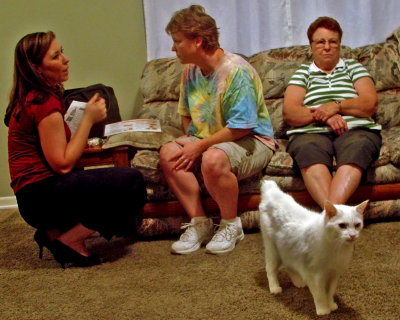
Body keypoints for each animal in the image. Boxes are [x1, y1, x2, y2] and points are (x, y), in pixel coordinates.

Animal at [260, 179, 368, 316]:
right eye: (342, 225)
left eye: (357, 225)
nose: (352, 235)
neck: (336, 247)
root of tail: (272, 190)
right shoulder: (316, 276)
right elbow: (320, 295)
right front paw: (323, 310)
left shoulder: (334, 275)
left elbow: (330, 293)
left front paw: (331, 305)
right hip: (273, 250)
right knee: (270, 269)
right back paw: (274, 288)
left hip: (289, 250)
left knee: (289, 266)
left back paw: (298, 282)